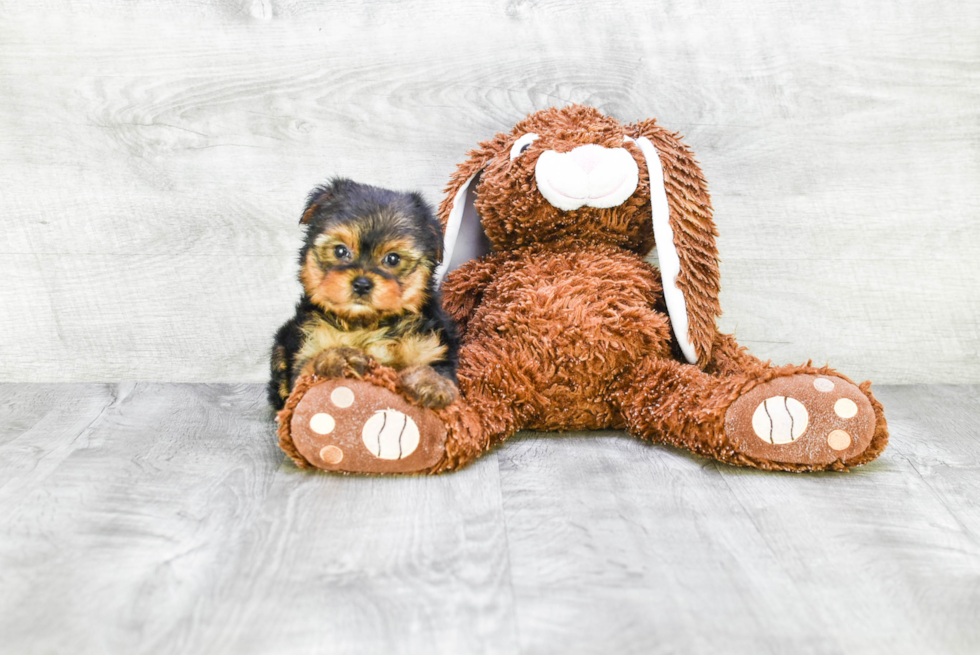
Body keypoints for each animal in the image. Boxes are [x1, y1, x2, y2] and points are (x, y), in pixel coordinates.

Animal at [268, 181, 460, 410]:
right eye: (340, 251)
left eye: (393, 259)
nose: (361, 284)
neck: (366, 323)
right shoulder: (308, 346)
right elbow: (309, 369)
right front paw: (339, 357)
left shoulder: (431, 345)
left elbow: (436, 368)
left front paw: (432, 383)